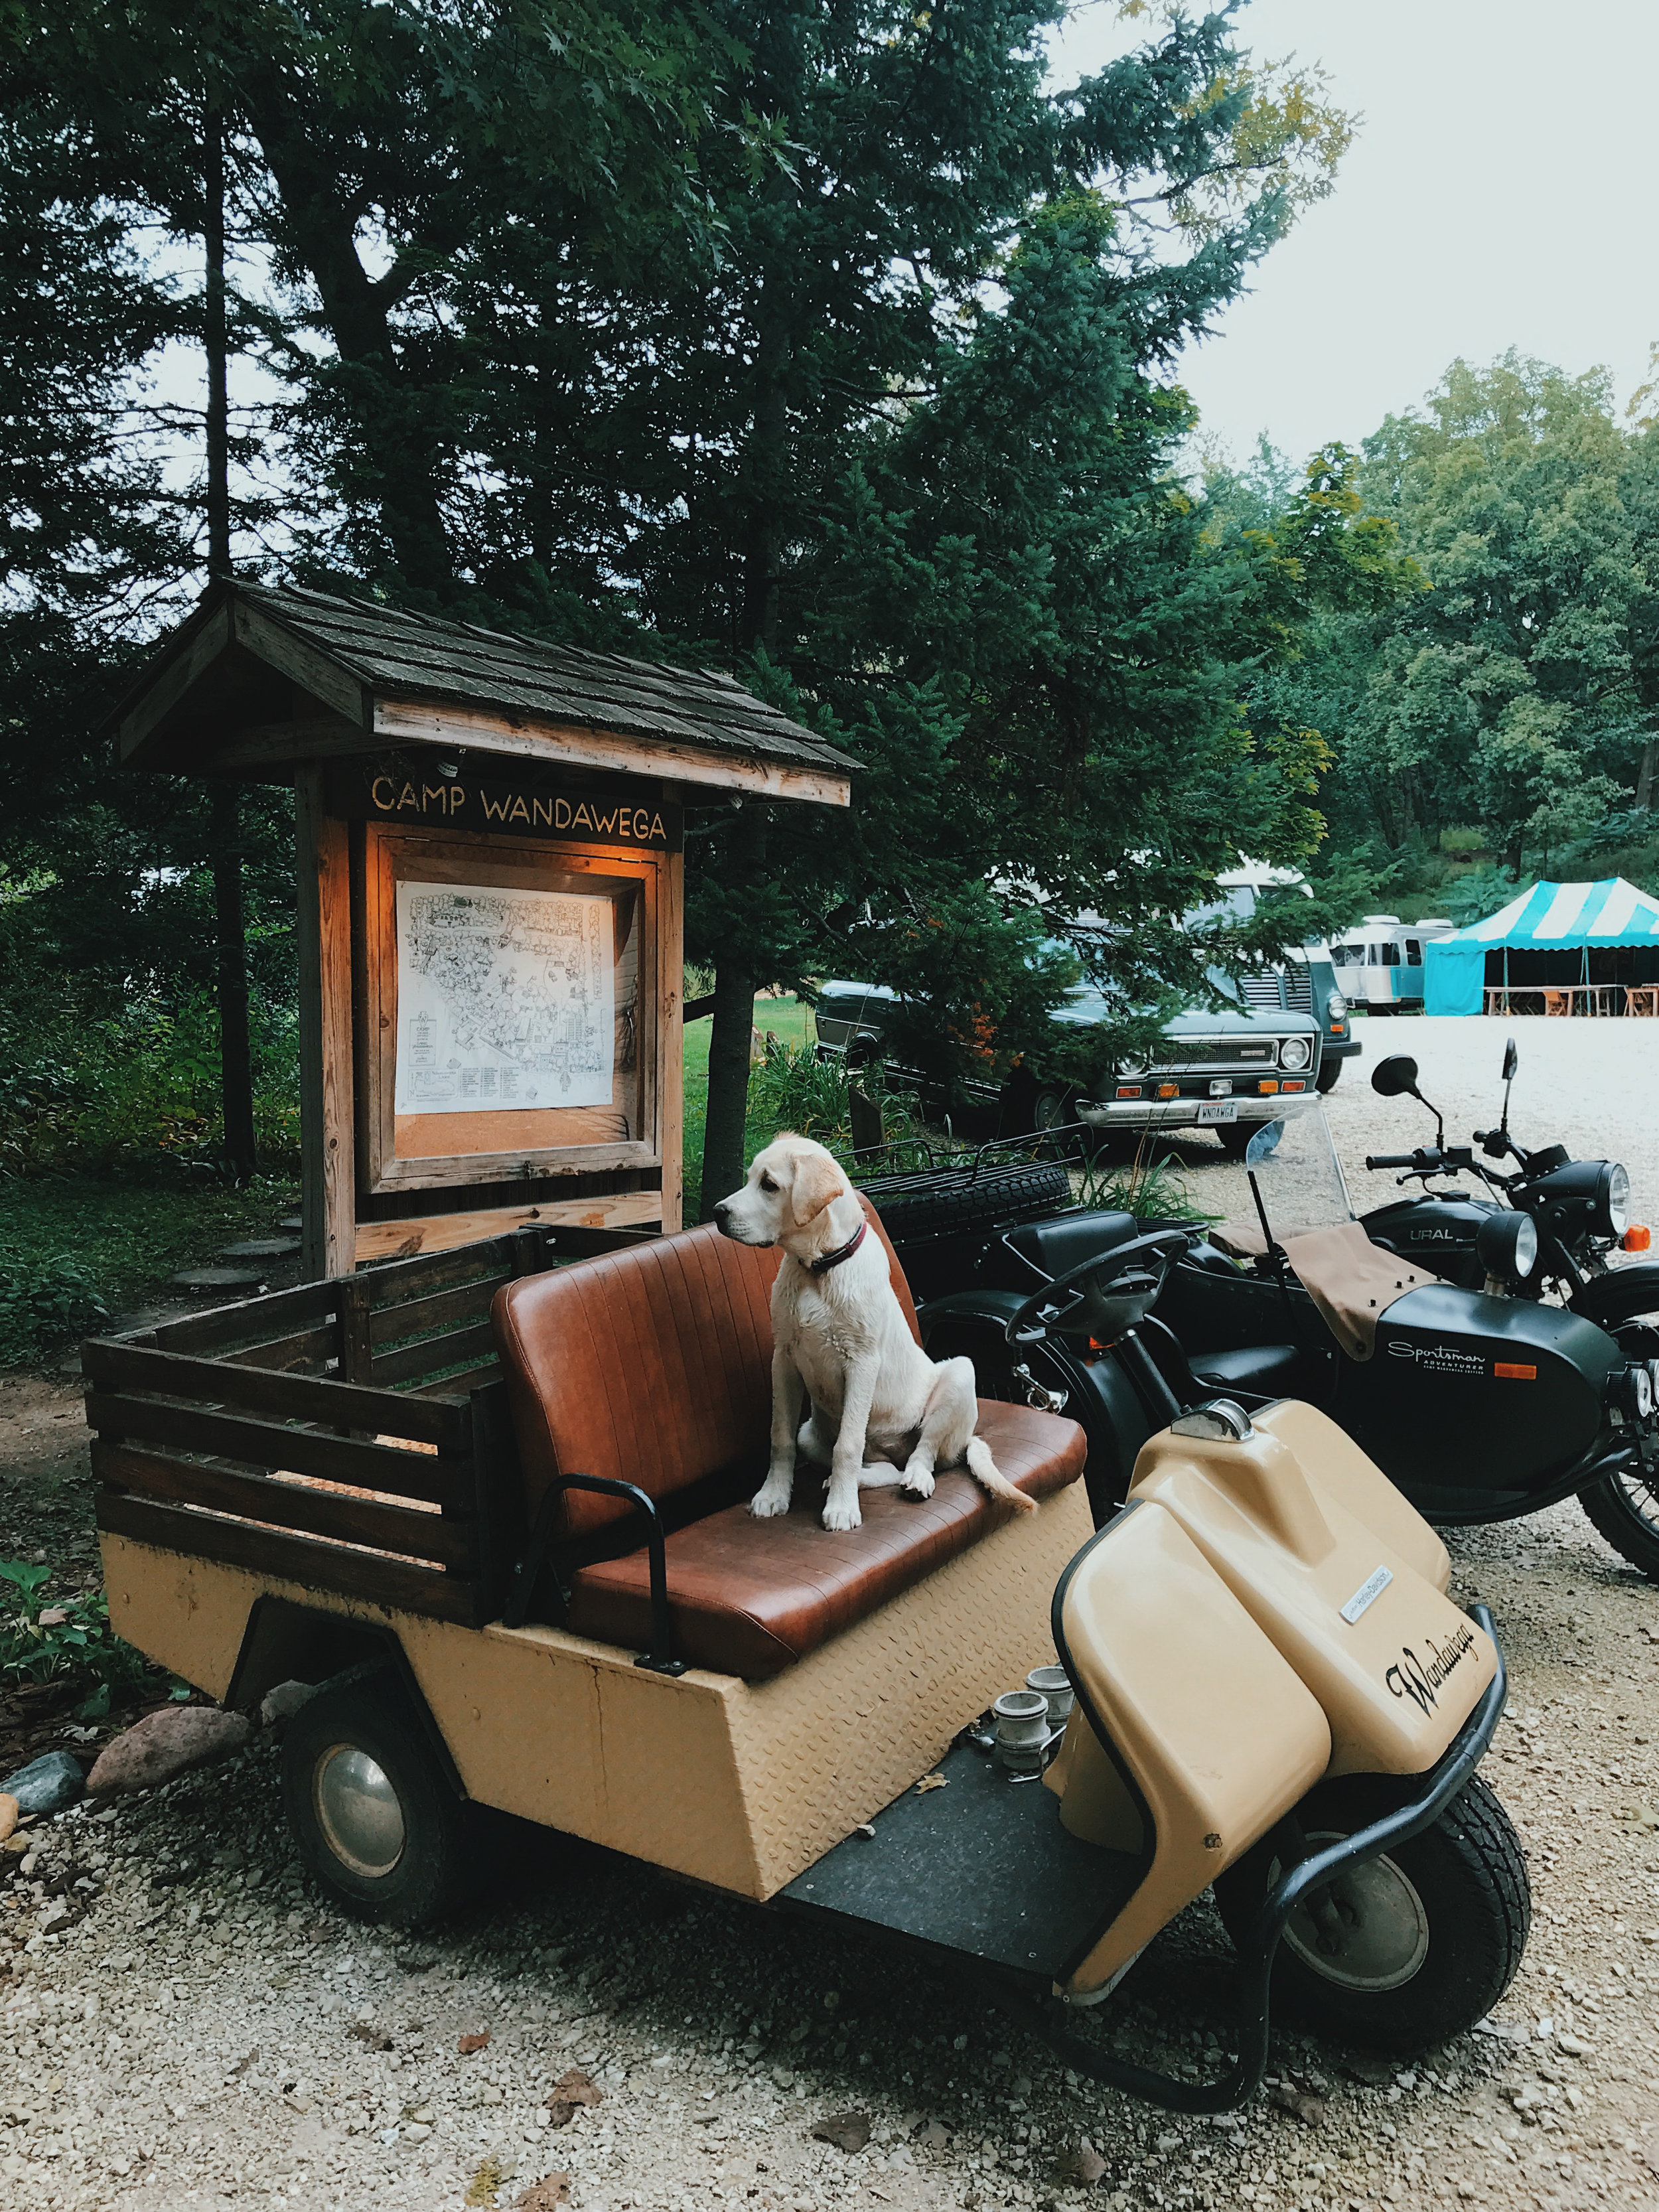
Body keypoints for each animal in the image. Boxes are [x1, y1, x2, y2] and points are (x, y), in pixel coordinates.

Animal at [717, 1132, 1039, 1530]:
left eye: (769, 1185)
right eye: (750, 1179)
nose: (717, 1212)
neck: (820, 1268)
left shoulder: (861, 1363)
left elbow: (847, 1445)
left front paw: (841, 1509)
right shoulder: (785, 1358)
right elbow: (780, 1436)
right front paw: (773, 1495)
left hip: (961, 1375)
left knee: (923, 1452)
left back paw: (914, 1479)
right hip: (812, 1433)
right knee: (881, 1467)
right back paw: (854, 1479)